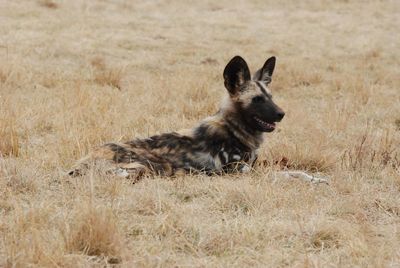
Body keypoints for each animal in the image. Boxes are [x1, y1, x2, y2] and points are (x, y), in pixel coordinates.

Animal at [69, 55, 328, 183]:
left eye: (270, 97)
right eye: (257, 100)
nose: (281, 114)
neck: (236, 129)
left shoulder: (253, 166)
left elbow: (296, 172)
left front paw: (316, 178)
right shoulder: (240, 171)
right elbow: (282, 175)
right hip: (145, 167)